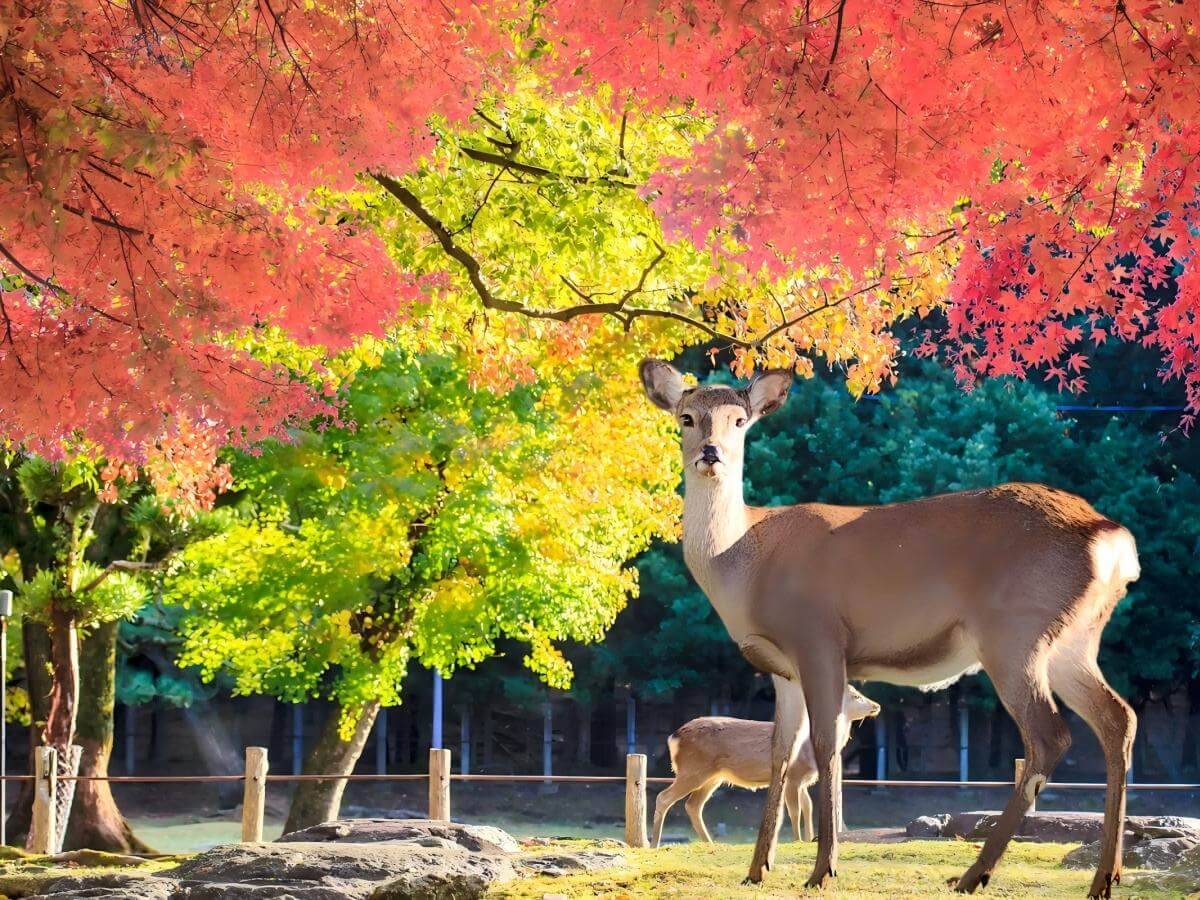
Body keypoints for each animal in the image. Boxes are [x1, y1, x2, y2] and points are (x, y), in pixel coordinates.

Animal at [651, 684, 881, 848]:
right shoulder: (794, 775)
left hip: (713, 775)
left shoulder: (804, 780)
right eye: (856, 696)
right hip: (693, 769)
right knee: (664, 797)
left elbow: (808, 806)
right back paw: (654, 844)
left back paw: (710, 843)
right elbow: (795, 810)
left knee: (693, 805)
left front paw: (809, 839)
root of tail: (673, 737)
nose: (876, 705)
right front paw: (797, 840)